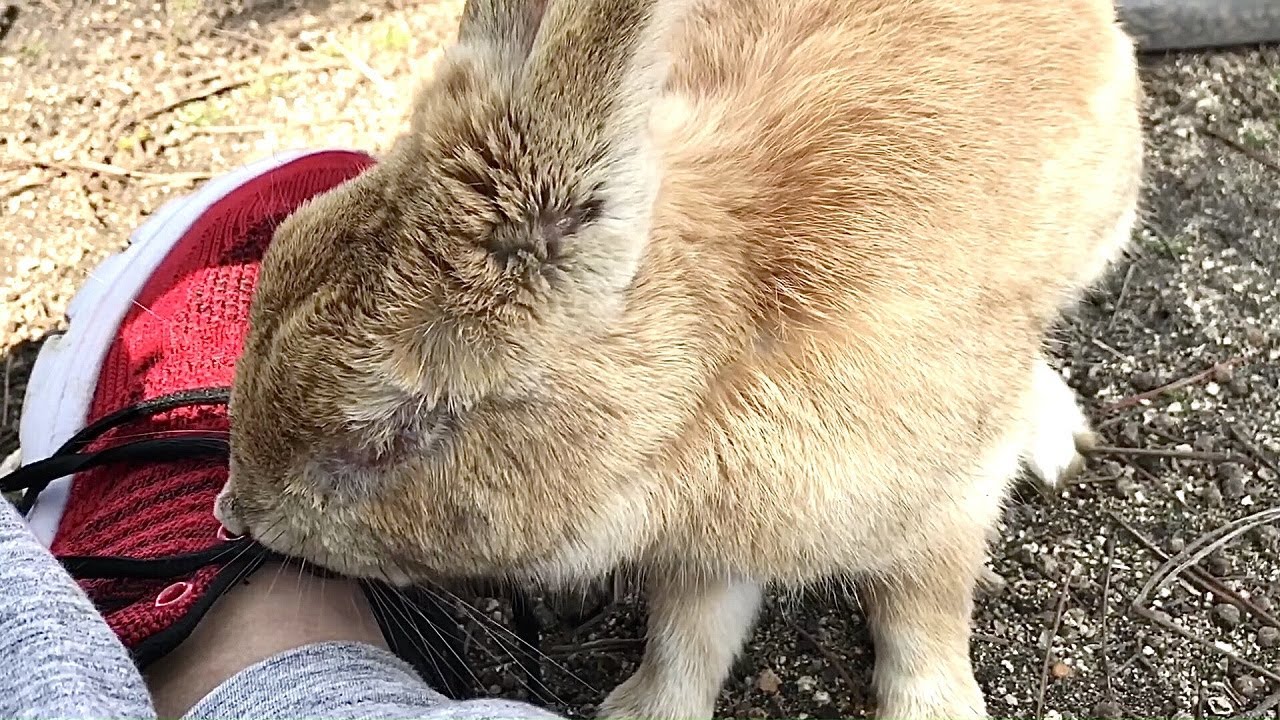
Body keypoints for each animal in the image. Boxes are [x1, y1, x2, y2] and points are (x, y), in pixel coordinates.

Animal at [215, 0, 1143, 717]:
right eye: (282, 246)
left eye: (391, 433)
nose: (238, 515)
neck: (706, 375)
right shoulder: (704, 551)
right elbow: (689, 635)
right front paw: (642, 709)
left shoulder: (945, 497)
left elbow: (926, 613)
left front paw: (935, 707)